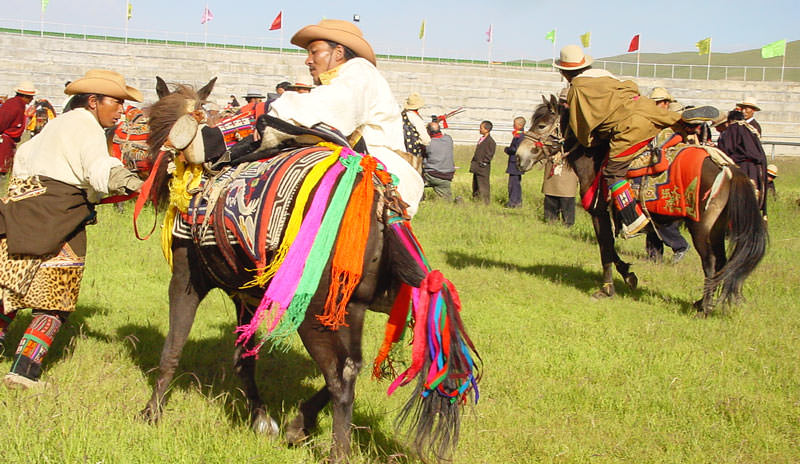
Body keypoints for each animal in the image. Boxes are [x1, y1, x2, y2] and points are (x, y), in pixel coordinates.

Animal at [136, 78, 480, 462]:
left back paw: (336, 450)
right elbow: (244, 357)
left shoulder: (186, 279)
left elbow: (173, 348)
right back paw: (300, 424)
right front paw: (261, 419)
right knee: (354, 366)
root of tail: (380, 204)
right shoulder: (246, 295)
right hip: (350, 309)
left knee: (340, 375)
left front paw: (151, 413)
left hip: (313, 314)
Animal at [515, 96, 766, 316]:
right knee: (724, 263)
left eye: (541, 125)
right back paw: (704, 302)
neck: (596, 158)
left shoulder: (599, 212)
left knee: (711, 264)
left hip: (701, 228)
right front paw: (628, 275)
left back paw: (704, 308)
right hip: (716, 229)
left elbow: (605, 246)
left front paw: (607, 289)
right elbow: (610, 248)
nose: (519, 157)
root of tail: (729, 169)